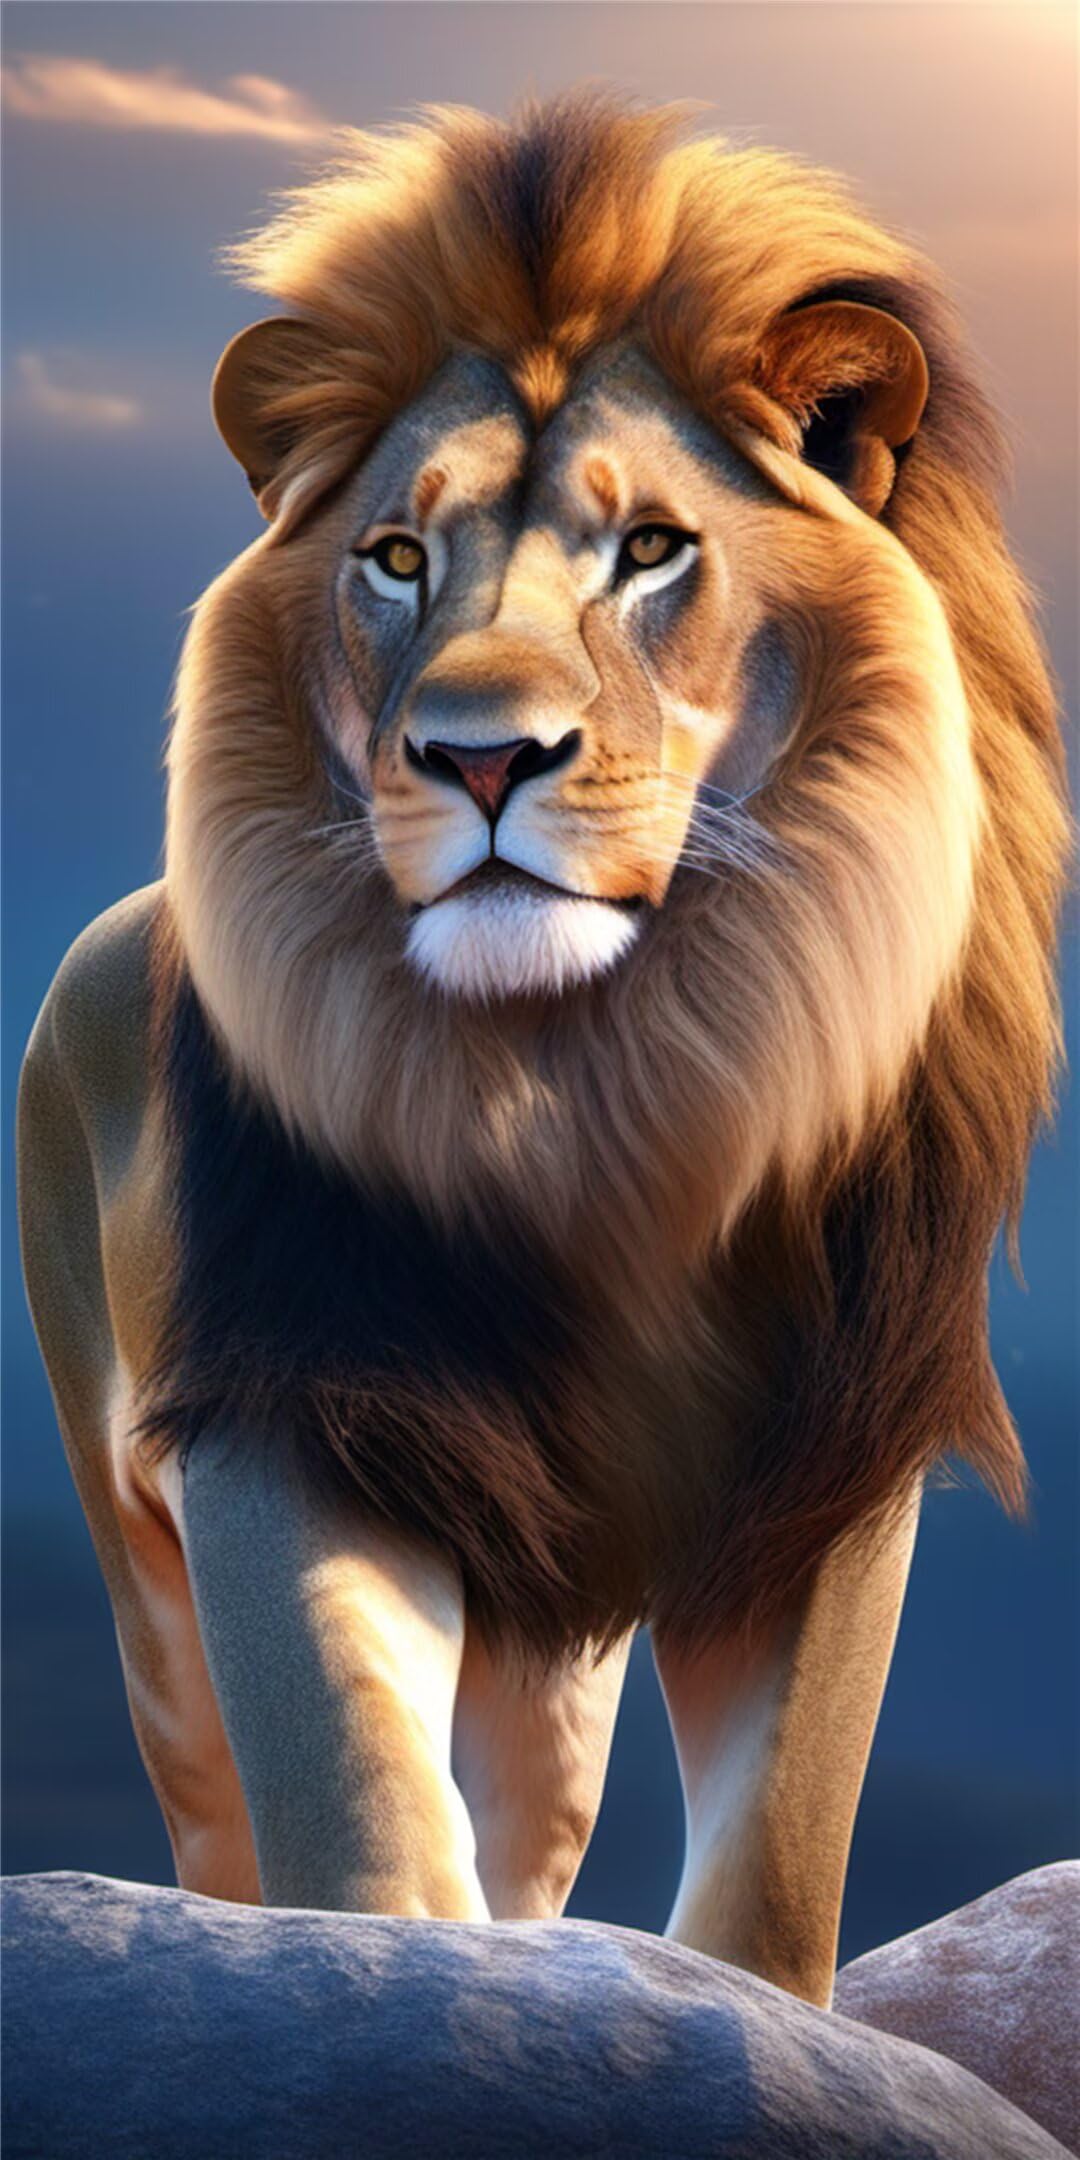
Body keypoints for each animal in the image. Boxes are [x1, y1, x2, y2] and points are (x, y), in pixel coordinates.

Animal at [17, 92, 1066, 2007]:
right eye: (397, 558)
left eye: (650, 548)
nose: (479, 756)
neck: (588, 1104)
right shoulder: (286, 1419)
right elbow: (354, 1814)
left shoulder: (833, 1456)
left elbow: (777, 1871)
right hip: (145, 1568)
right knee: (220, 1822)